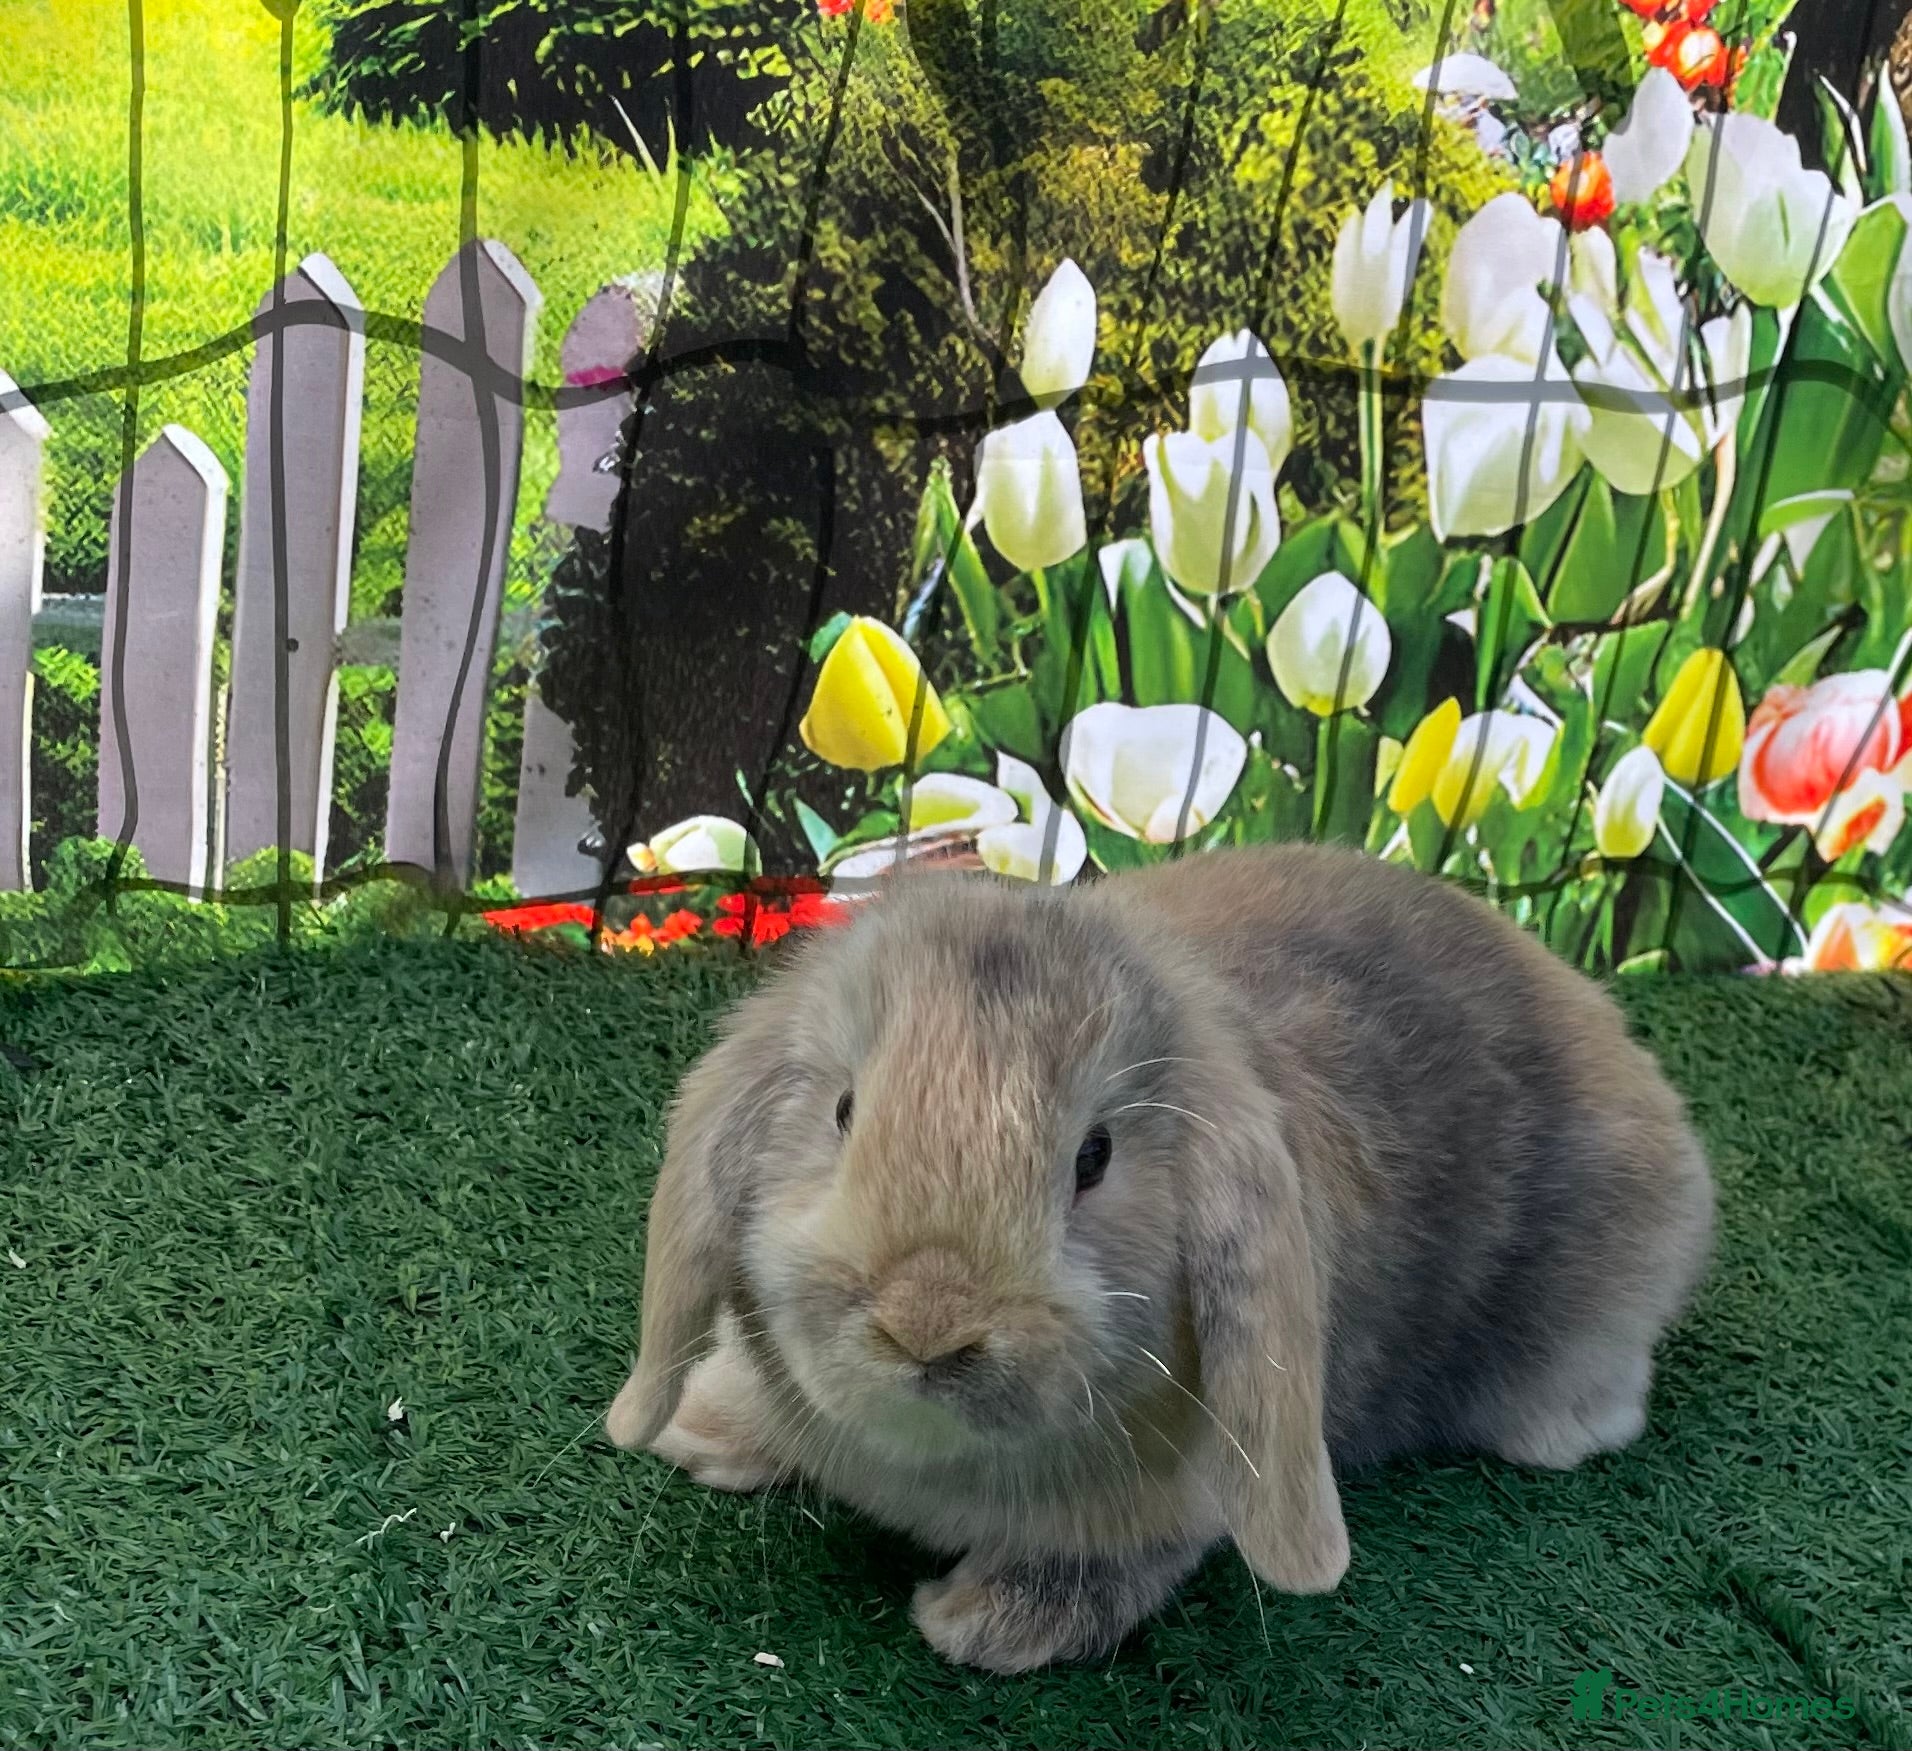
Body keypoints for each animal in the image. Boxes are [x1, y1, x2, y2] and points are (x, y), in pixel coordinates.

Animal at [604, 843, 1715, 1672]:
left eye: (1095, 1156)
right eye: (842, 1110)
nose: (929, 1322)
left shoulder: (1162, 1510)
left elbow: (1115, 1562)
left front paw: (984, 1622)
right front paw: (701, 1429)